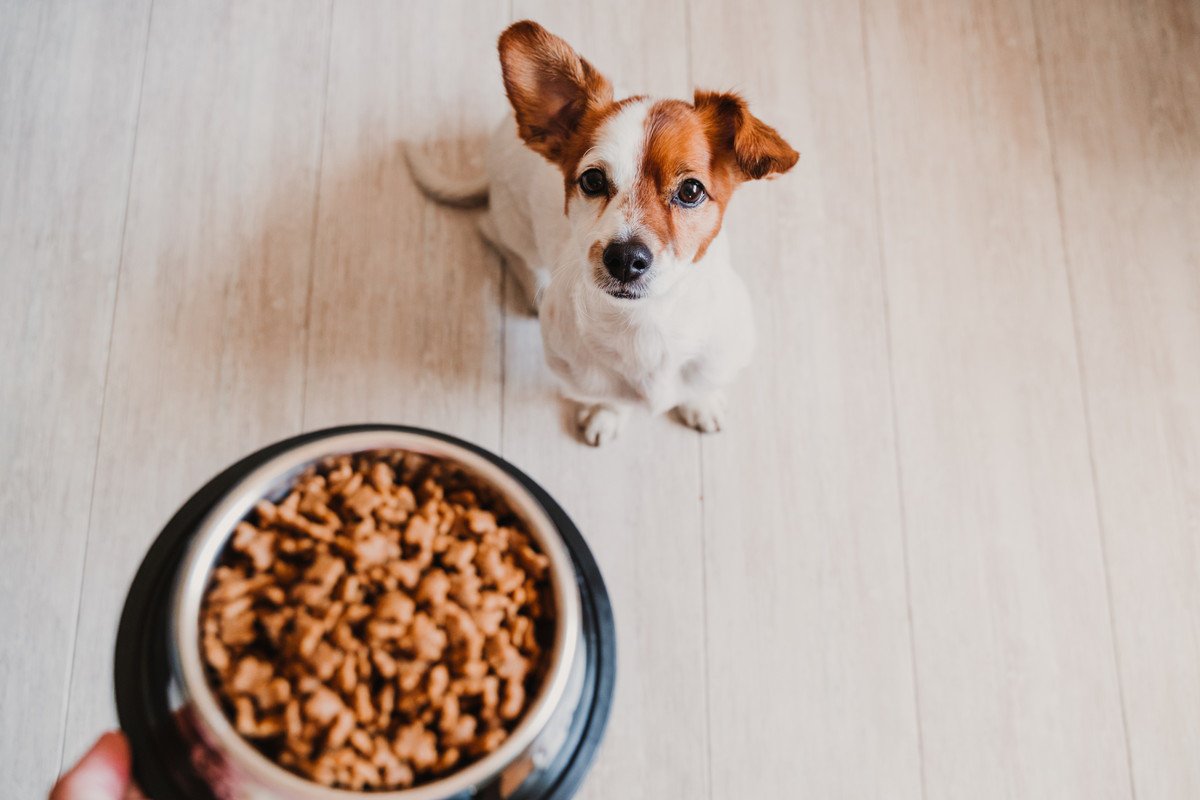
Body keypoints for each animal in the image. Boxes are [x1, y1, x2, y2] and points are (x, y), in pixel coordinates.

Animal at [408, 20, 801, 443]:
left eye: (691, 191)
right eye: (593, 180)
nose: (625, 258)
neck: (645, 323)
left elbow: (702, 384)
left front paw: (701, 402)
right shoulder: (578, 374)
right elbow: (608, 397)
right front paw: (607, 413)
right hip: (514, 227)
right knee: (495, 235)